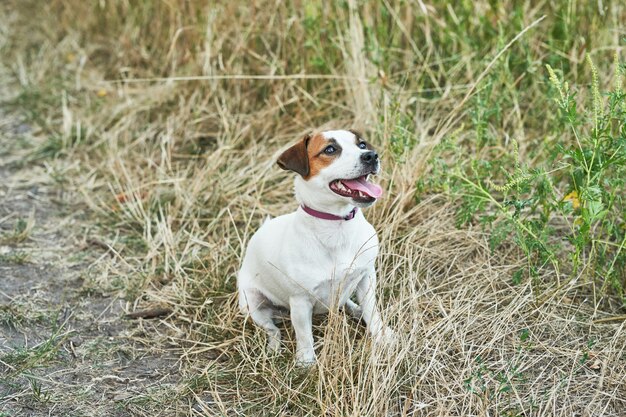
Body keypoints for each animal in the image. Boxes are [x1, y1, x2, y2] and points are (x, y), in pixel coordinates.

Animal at [238, 128, 390, 362]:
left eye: (362, 145)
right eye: (330, 149)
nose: (372, 156)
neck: (337, 224)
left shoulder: (366, 277)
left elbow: (372, 312)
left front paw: (382, 337)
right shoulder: (300, 301)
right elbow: (304, 335)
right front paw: (306, 362)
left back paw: (355, 310)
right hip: (251, 303)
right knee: (273, 329)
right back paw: (273, 346)